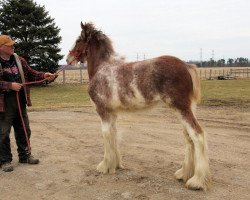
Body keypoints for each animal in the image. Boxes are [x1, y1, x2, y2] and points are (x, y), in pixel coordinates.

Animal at [66, 22, 211, 191]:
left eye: (78, 40)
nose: (68, 59)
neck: (102, 69)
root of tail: (186, 66)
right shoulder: (112, 114)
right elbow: (114, 135)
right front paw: (116, 165)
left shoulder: (103, 112)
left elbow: (106, 135)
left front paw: (104, 166)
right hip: (187, 109)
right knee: (188, 138)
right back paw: (184, 174)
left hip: (181, 108)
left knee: (197, 135)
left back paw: (196, 181)